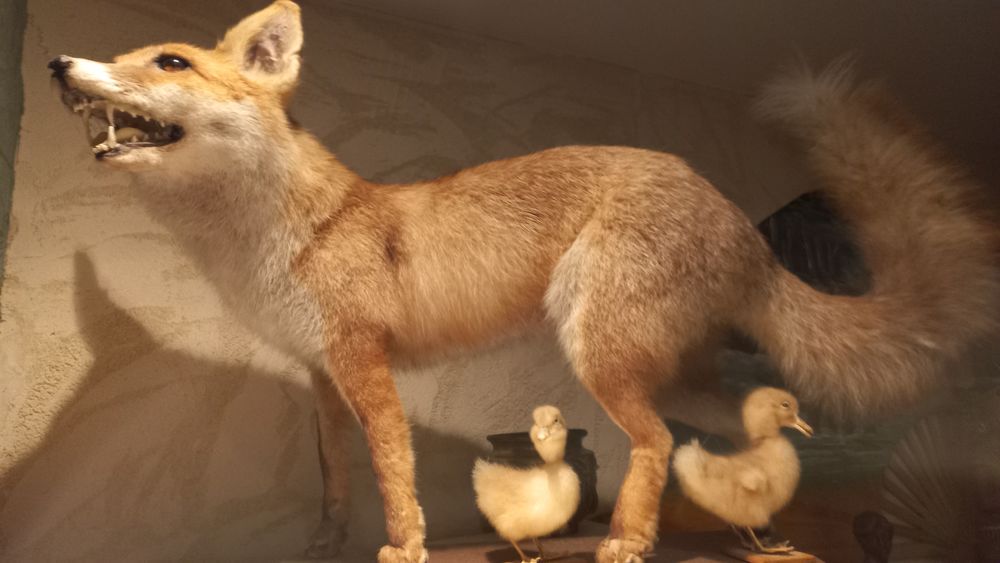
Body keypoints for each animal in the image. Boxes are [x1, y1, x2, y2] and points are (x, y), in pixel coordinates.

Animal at [46, 1, 998, 562]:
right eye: (126, 53)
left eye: (170, 63)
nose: (58, 65)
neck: (279, 237)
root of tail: (728, 209)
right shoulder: (320, 378)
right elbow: (335, 478)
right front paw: (322, 544)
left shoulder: (365, 364)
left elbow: (392, 472)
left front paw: (403, 547)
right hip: (667, 370)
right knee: (744, 427)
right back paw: (756, 532)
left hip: (599, 353)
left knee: (656, 442)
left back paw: (630, 540)